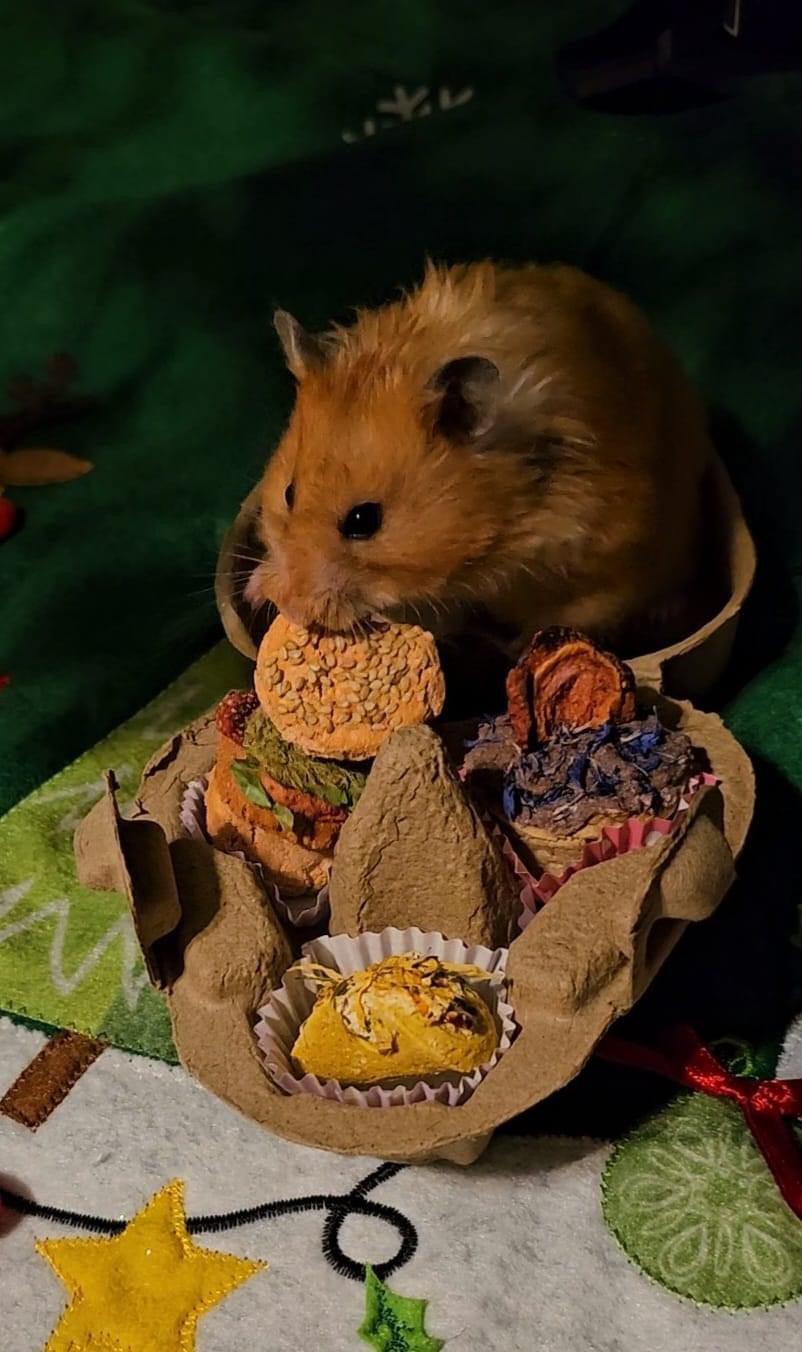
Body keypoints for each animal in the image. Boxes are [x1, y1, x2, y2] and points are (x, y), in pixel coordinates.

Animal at [246, 261, 712, 656]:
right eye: (288, 493)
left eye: (364, 521)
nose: (291, 607)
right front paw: (257, 587)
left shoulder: (602, 564)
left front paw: (520, 649)